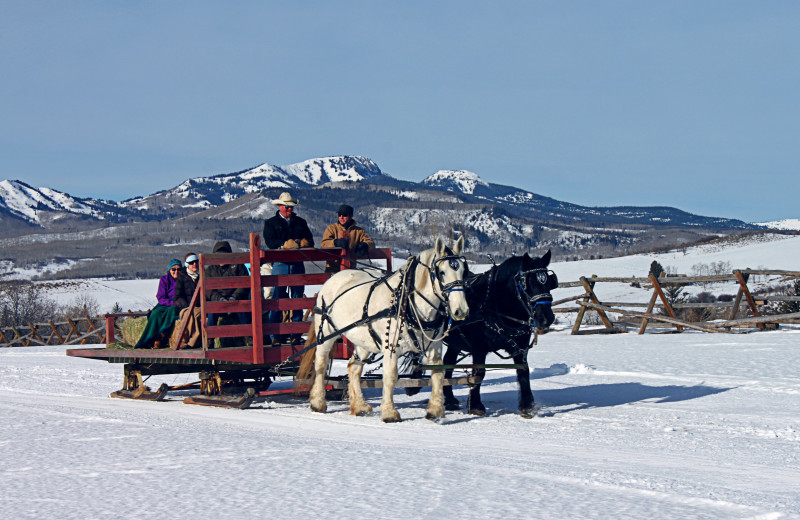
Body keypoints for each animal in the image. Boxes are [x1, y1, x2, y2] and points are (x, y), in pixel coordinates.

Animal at [306, 236, 468, 422]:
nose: (461, 310)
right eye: (442, 272)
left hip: (364, 340)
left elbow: (438, 374)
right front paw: (390, 413)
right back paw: (318, 402)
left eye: (463, 271)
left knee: (354, 367)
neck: (408, 302)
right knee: (320, 364)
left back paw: (359, 406)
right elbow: (390, 377)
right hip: (326, 333)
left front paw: (435, 410)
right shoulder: (391, 347)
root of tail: (333, 278)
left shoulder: (434, 347)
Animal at [406, 252, 556, 418]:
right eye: (527, 283)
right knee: (418, 356)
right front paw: (475, 406)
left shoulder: (520, 346)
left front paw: (528, 405)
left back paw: (449, 399)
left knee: (448, 363)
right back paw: (413, 384)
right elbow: (479, 373)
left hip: (455, 341)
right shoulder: (479, 347)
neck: (494, 304)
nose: (546, 318)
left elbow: (523, 371)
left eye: (549, 281)